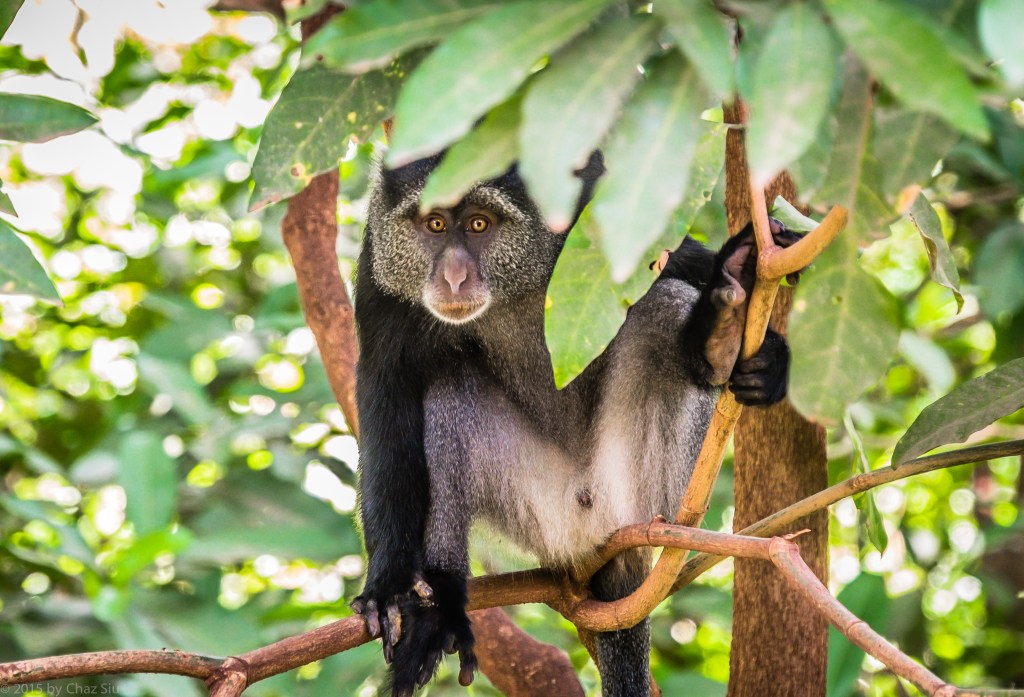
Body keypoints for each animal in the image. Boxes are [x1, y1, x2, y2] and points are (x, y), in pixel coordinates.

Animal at [350, 151, 795, 696]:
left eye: (479, 224)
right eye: (434, 224)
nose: (453, 278)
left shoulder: (588, 196)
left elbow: (679, 258)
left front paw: (768, 348)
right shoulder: (378, 275)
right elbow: (385, 400)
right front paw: (388, 588)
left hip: (652, 488)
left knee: (662, 304)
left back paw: (717, 342)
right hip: (543, 512)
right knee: (448, 386)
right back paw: (442, 604)